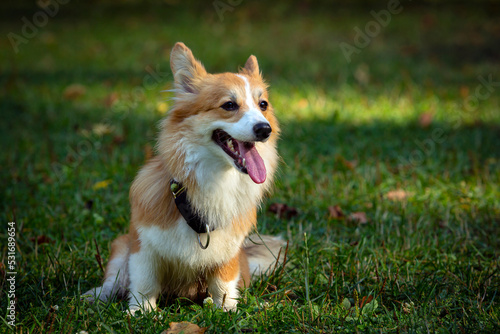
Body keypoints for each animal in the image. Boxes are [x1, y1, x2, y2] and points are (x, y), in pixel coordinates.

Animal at [84, 42, 284, 314]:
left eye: (263, 104)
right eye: (229, 105)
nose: (265, 130)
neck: (215, 178)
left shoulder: (228, 251)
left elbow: (223, 285)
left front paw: (227, 310)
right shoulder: (143, 246)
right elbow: (144, 282)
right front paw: (141, 312)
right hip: (121, 245)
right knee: (114, 281)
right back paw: (96, 295)